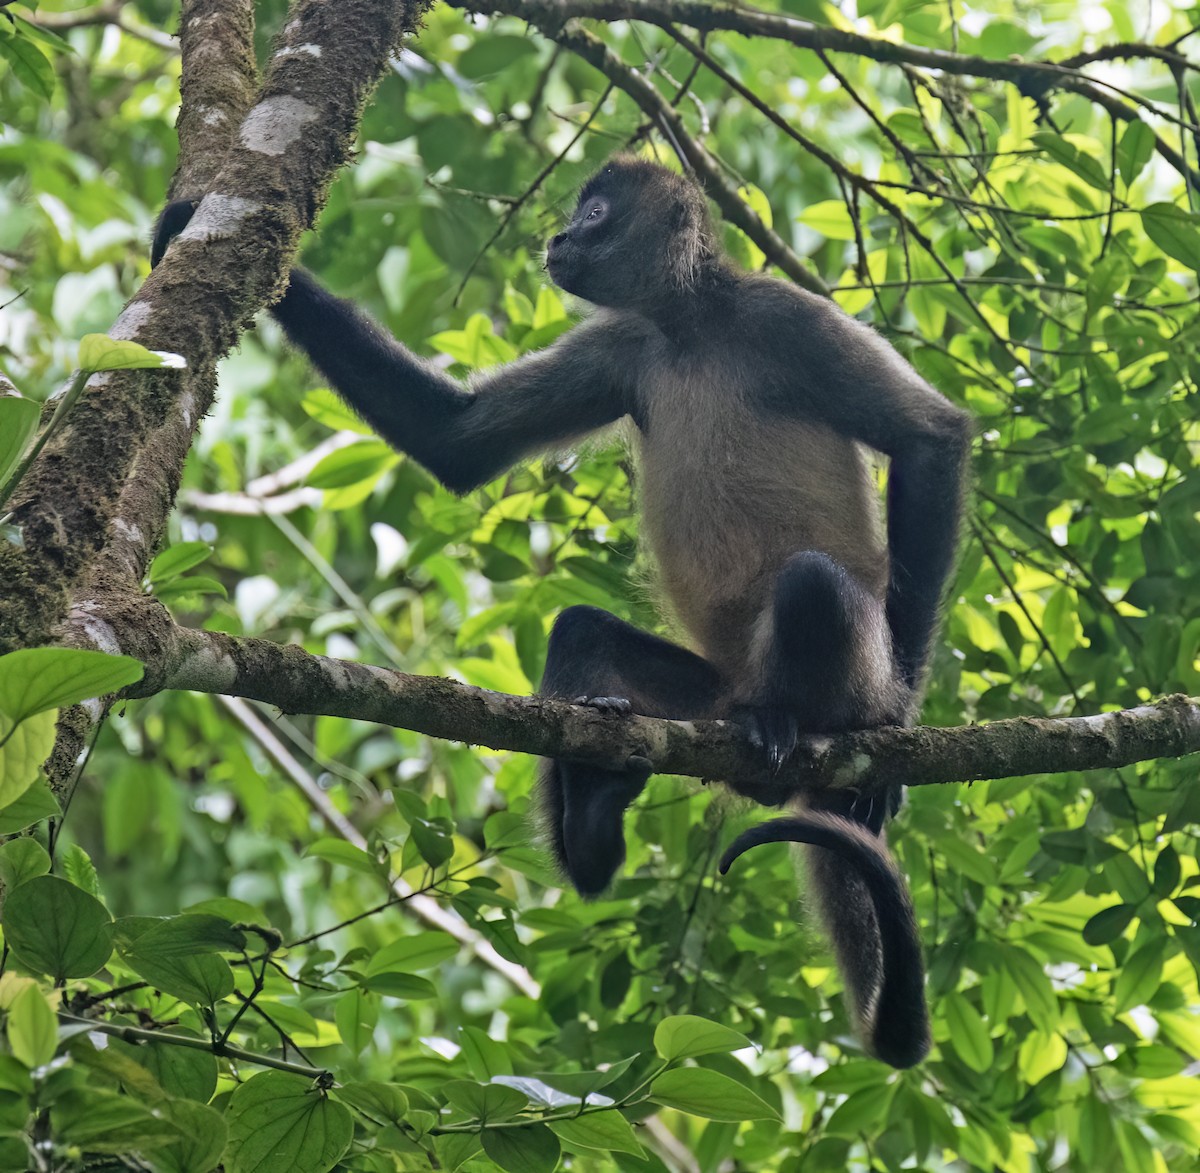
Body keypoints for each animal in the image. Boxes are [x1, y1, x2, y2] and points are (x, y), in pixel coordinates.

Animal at [152, 156, 971, 1068]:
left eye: (598, 211)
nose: (560, 237)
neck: (689, 328)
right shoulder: (626, 346)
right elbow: (457, 438)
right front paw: (206, 232)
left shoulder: (784, 314)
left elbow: (934, 437)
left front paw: (898, 726)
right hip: (701, 695)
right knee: (583, 629)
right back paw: (596, 822)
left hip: (847, 662)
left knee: (815, 583)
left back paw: (797, 727)